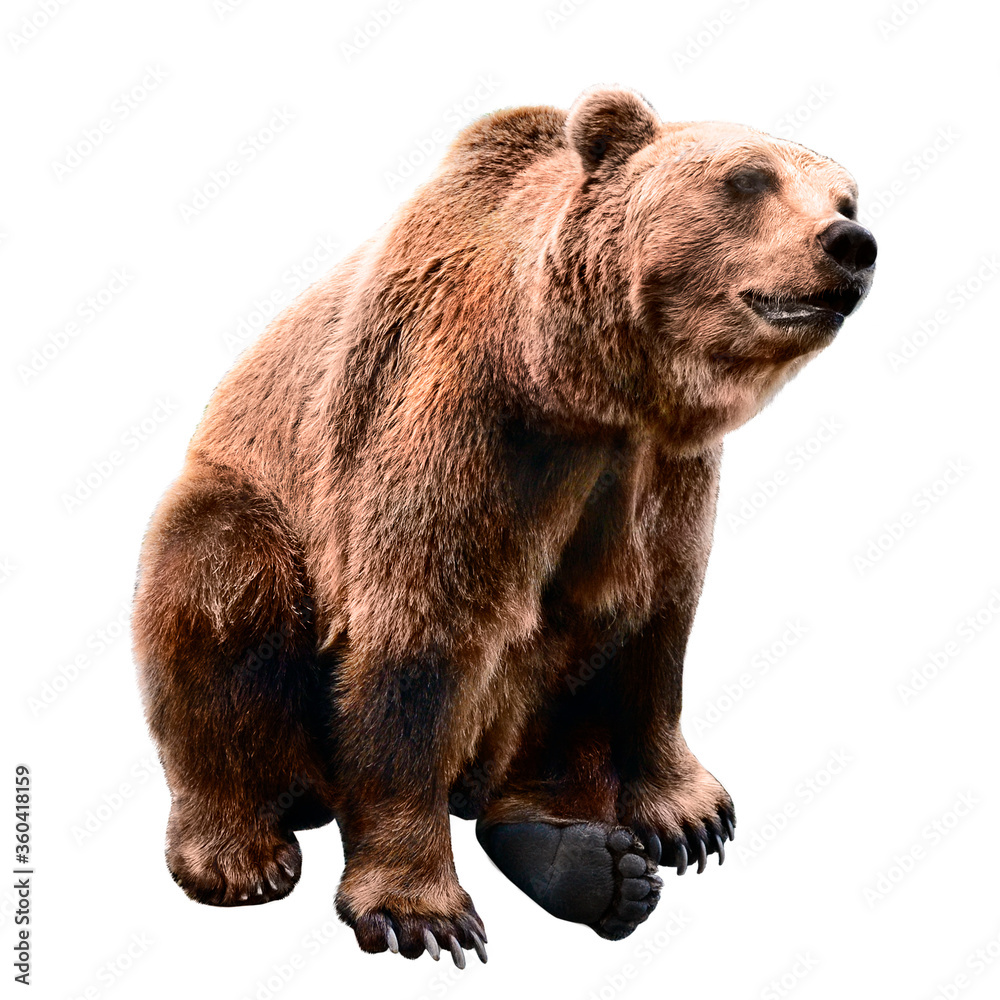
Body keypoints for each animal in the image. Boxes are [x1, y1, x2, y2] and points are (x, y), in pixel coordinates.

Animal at [132, 86, 876, 967]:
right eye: (749, 179)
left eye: (845, 198)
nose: (850, 242)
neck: (582, 386)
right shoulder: (465, 422)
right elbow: (421, 635)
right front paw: (421, 910)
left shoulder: (662, 475)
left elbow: (656, 625)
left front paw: (693, 815)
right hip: (252, 516)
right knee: (223, 581)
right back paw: (240, 856)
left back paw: (585, 861)